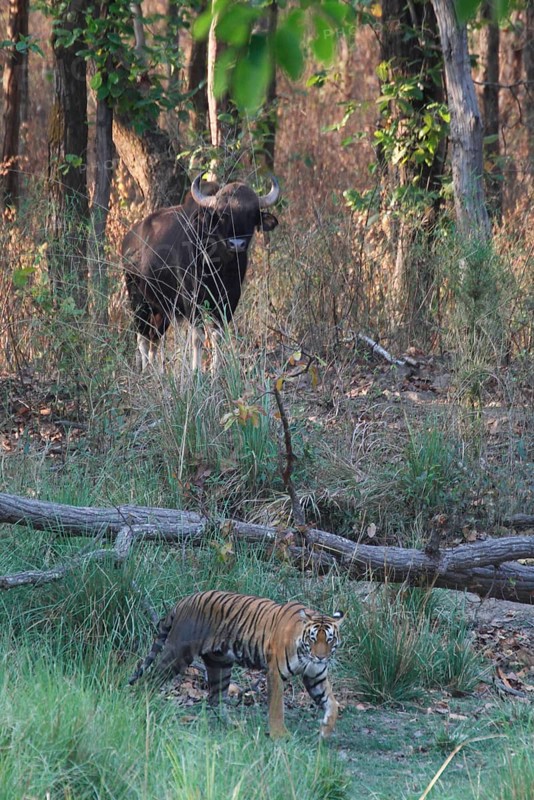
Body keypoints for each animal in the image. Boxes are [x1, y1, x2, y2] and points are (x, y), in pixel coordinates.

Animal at [128, 590, 344, 738]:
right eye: (313, 638)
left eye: (330, 639)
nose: (321, 658)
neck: (305, 653)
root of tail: (183, 601)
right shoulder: (275, 673)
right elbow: (277, 707)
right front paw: (280, 735)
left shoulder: (315, 676)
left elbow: (332, 703)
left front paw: (325, 730)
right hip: (178, 654)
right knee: (150, 679)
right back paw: (142, 705)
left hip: (220, 665)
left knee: (215, 699)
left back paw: (233, 726)